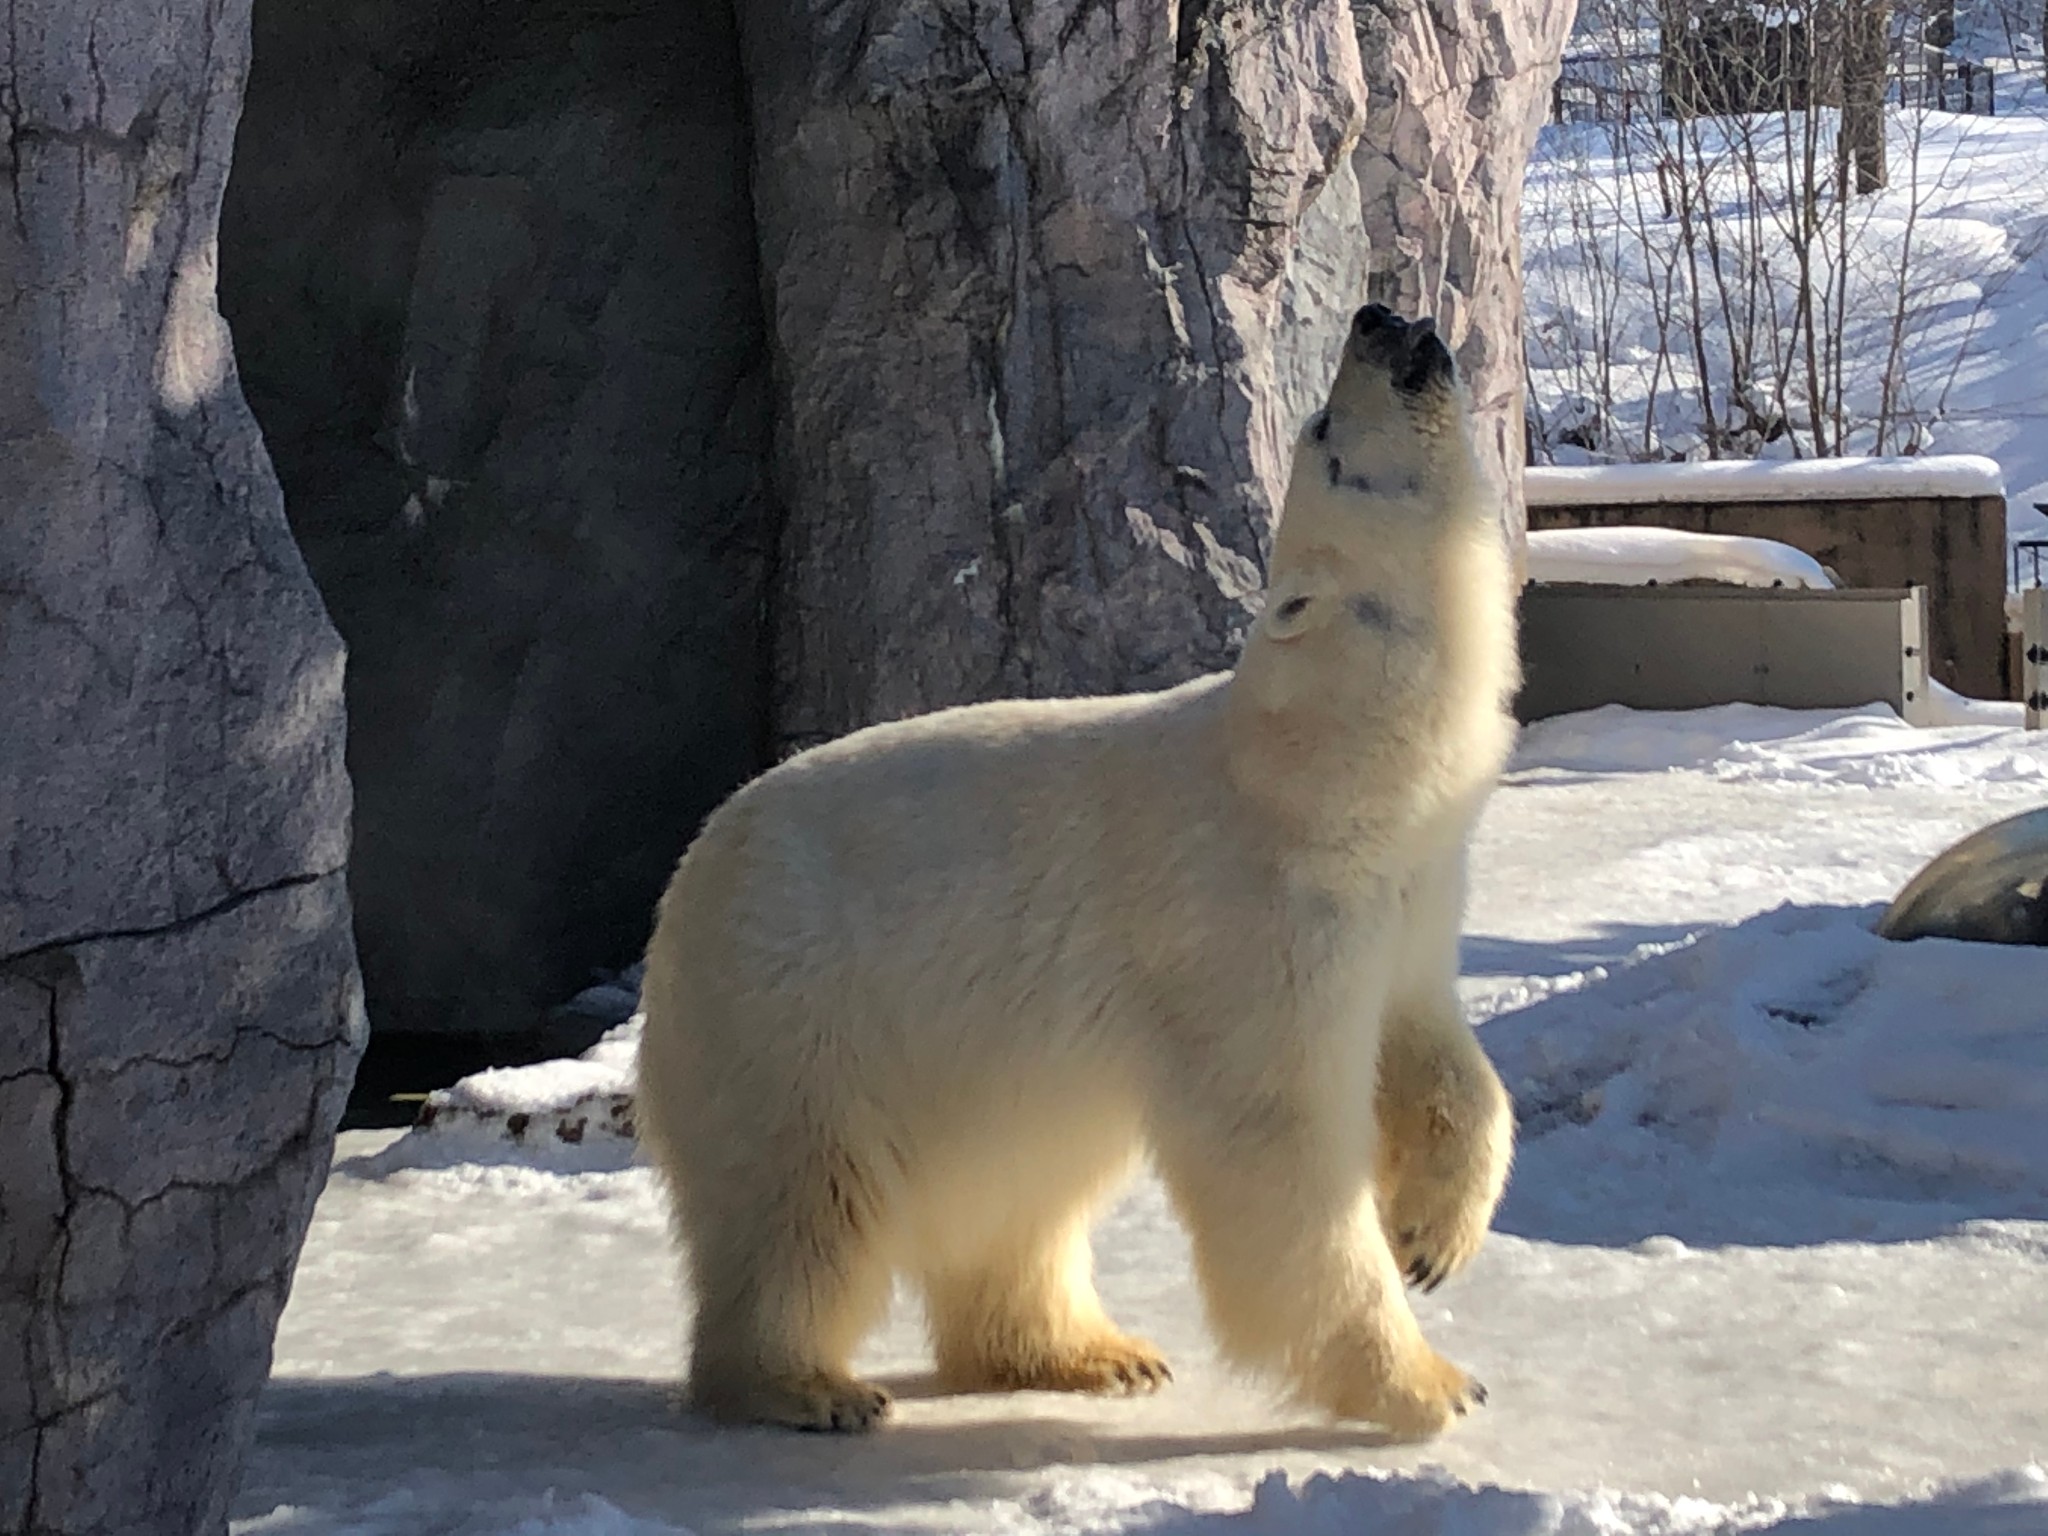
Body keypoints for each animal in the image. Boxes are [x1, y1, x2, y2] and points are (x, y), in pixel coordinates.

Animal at [638, 303, 1523, 1441]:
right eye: (1327, 433)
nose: (1382, 320)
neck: (1317, 779)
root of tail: (691, 874)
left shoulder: (1406, 890)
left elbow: (1435, 1052)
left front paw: (1432, 1236)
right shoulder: (1246, 921)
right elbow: (1277, 1145)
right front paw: (1426, 1383)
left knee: (1019, 1195)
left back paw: (1094, 1354)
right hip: (795, 1008)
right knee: (802, 1198)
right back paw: (807, 1386)